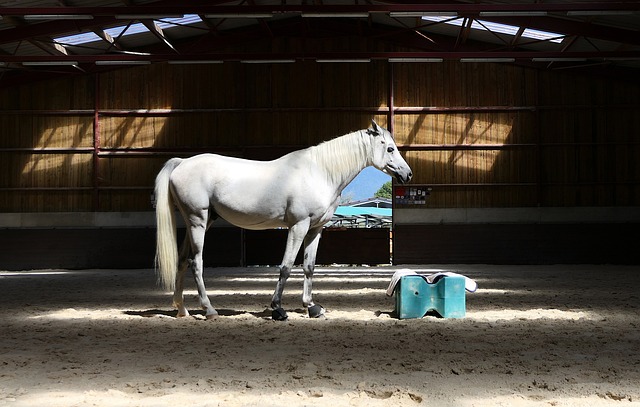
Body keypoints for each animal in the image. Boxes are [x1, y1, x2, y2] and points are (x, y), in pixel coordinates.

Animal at [158, 119, 412, 320]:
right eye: (390, 149)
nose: (407, 174)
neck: (320, 172)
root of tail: (182, 163)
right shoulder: (298, 226)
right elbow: (287, 266)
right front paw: (278, 309)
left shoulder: (315, 229)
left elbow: (309, 267)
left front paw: (312, 307)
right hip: (198, 221)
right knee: (196, 263)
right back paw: (209, 310)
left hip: (198, 222)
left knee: (182, 260)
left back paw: (182, 310)